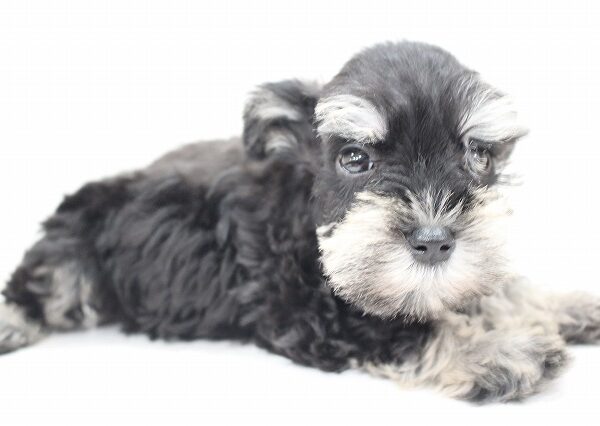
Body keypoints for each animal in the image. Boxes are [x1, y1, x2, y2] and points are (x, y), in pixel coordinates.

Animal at [1, 41, 598, 403]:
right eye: (354, 158)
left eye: (477, 154)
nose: (433, 242)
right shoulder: (308, 312)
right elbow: (406, 331)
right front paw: (503, 350)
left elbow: (493, 288)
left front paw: (563, 305)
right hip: (74, 241)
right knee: (41, 284)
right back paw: (13, 321)